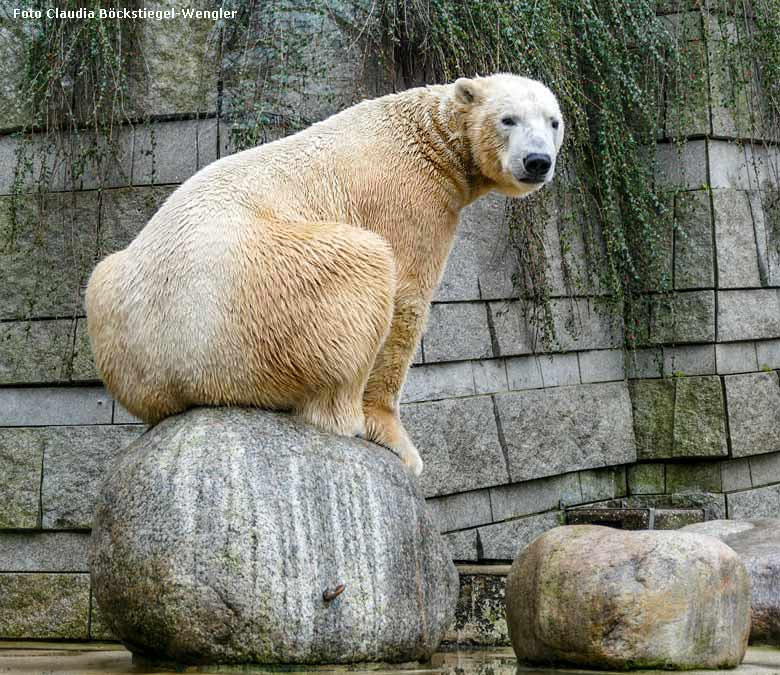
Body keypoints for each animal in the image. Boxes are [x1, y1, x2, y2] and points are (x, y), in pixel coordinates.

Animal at [87, 74, 560, 476]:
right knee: (363, 265)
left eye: (553, 122)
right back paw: (349, 420)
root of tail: (171, 365)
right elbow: (406, 298)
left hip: (114, 297)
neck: (430, 137)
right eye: (508, 118)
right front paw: (396, 438)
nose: (537, 161)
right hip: (272, 286)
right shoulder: (411, 200)